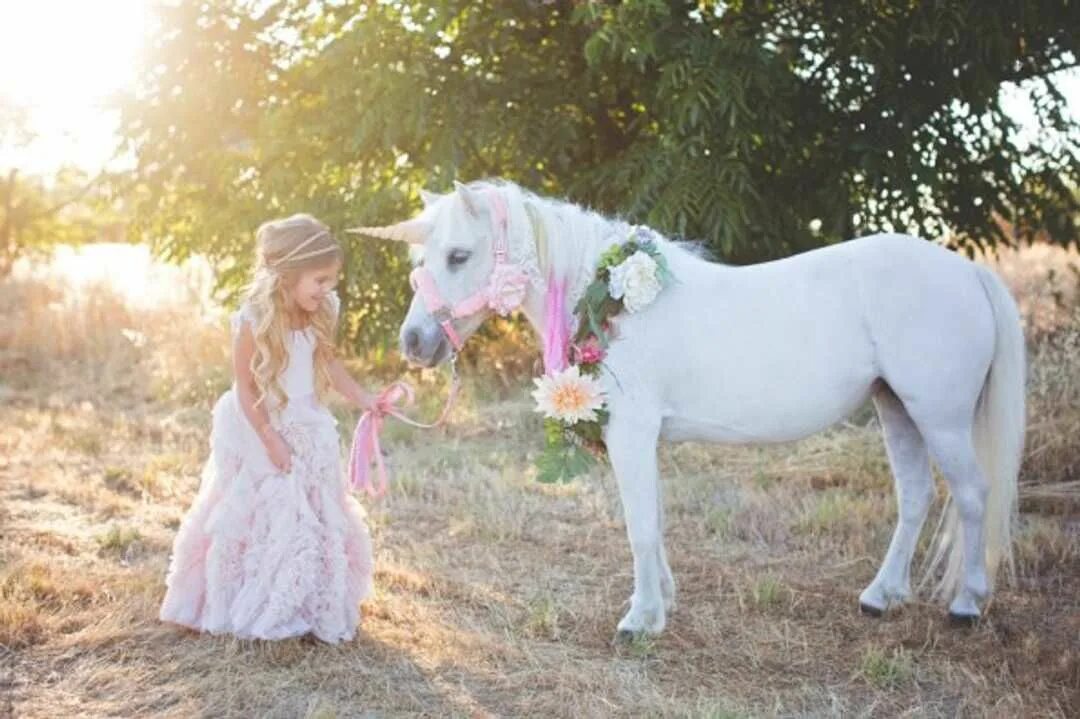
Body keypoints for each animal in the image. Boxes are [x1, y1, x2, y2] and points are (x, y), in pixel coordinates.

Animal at [356, 178, 1028, 634]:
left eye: (459, 256)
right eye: (422, 259)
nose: (413, 342)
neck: (612, 299)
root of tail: (967, 272)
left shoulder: (631, 435)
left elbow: (639, 525)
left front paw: (640, 619)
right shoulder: (644, 441)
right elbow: (653, 522)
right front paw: (662, 604)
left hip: (938, 417)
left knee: (972, 495)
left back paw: (967, 604)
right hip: (897, 410)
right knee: (915, 497)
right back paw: (881, 596)